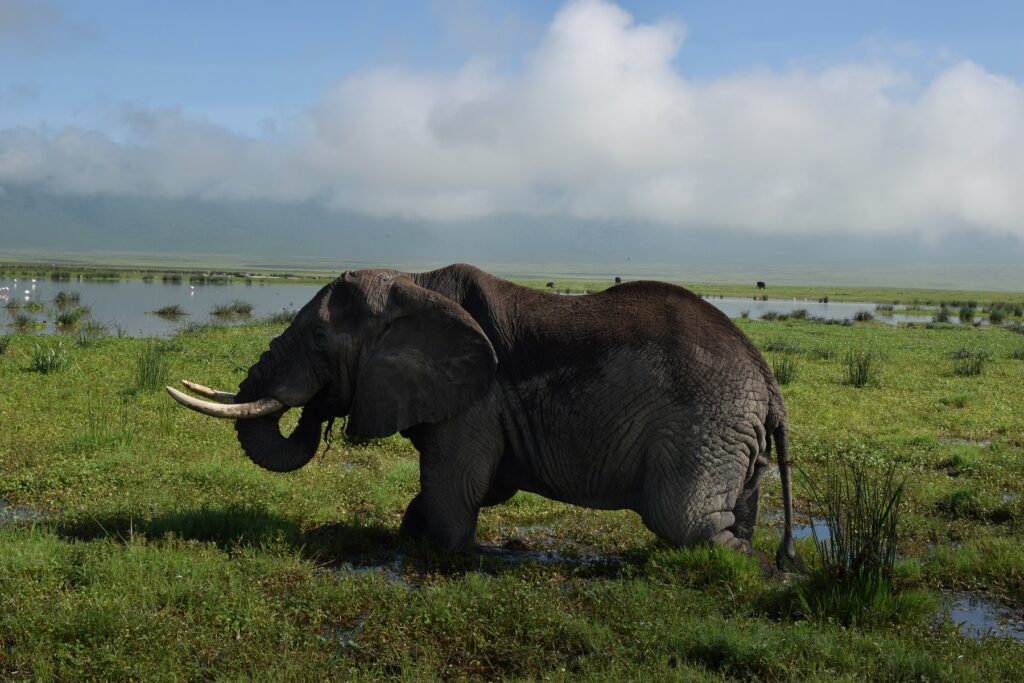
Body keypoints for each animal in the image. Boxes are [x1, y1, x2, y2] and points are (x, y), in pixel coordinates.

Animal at [167, 263, 799, 568]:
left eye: (321, 339)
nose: (319, 408)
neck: (414, 284)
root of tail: (770, 383)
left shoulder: (476, 399)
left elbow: (458, 482)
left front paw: (452, 554)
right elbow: (482, 485)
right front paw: (410, 534)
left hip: (705, 426)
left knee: (686, 522)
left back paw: (763, 574)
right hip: (732, 432)